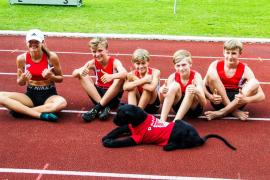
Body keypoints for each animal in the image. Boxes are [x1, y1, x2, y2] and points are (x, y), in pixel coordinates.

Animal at [102, 104, 236, 150]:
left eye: (119, 115)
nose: (113, 120)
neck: (139, 121)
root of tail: (199, 137)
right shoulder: (128, 127)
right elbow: (117, 130)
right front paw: (106, 137)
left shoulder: (136, 138)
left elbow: (120, 142)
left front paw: (109, 142)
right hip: (179, 121)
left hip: (184, 134)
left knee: (183, 145)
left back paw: (169, 146)